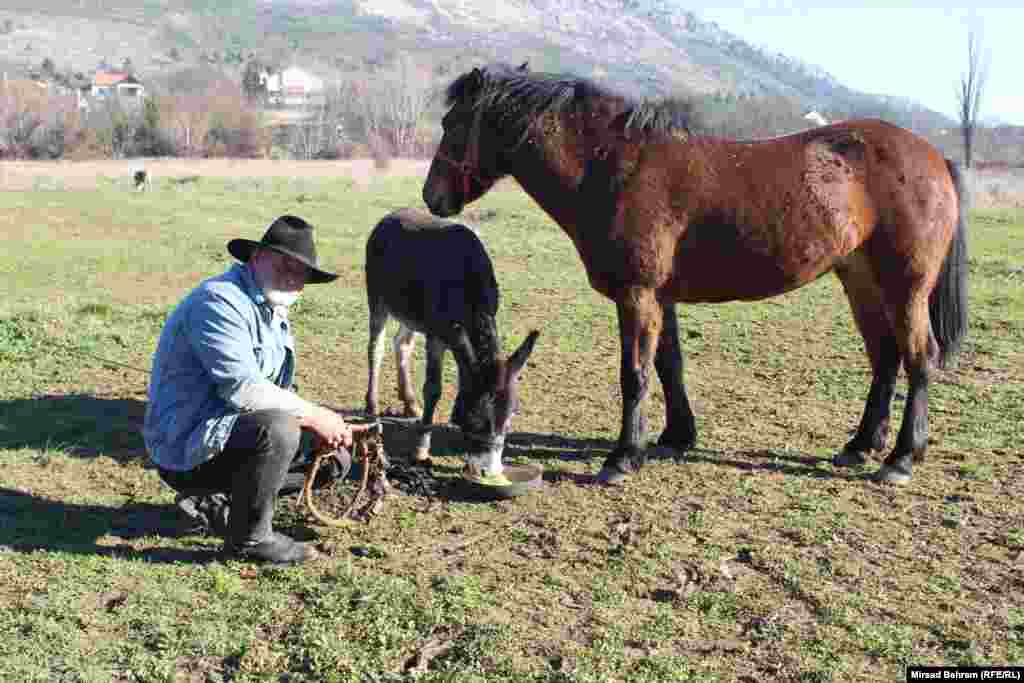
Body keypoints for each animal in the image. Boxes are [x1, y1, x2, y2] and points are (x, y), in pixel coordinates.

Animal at [423, 61, 966, 483]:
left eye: (453, 121)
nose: (432, 197)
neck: (616, 166)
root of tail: (934, 156)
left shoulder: (637, 296)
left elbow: (635, 373)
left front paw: (623, 457)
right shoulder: (659, 298)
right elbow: (669, 366)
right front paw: (675, 437)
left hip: (906, 287)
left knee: (920, 357)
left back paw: (900, 459)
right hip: (862, 282)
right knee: (885, 358)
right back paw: (860, 445)